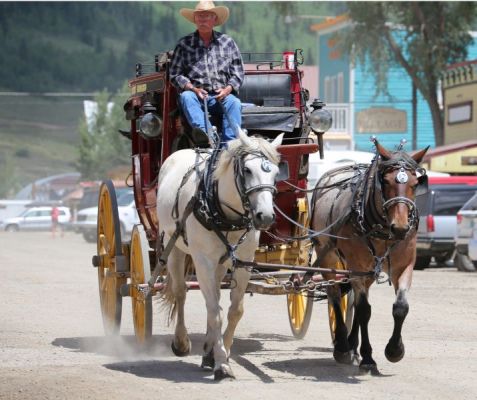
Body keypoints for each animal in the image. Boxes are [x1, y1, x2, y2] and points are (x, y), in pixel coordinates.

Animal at [156, 130, 282, 380]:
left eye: (275, 172)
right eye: (247, 170)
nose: (265, 216)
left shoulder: (244, 262)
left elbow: (233, 311)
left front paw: (219, 352)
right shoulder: (203, 261)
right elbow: (215, 312)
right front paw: (222, 363)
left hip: (221, 263)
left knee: (211, 295)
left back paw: (207, 350)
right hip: (173, 246)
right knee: (181, 292)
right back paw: (181, 342)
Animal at [308, 139, 428, 374]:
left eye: (415, 183)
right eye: (386, 181)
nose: (400, 227)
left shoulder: (404, 266)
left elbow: (400, 307)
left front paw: (394, 350)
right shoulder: (356, 267)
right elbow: (364, 311)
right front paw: (368, 357)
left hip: (368, 271)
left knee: (353, 299)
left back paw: (352, 345)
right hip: (328, 256)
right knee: (335, 295)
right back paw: (343, 346)